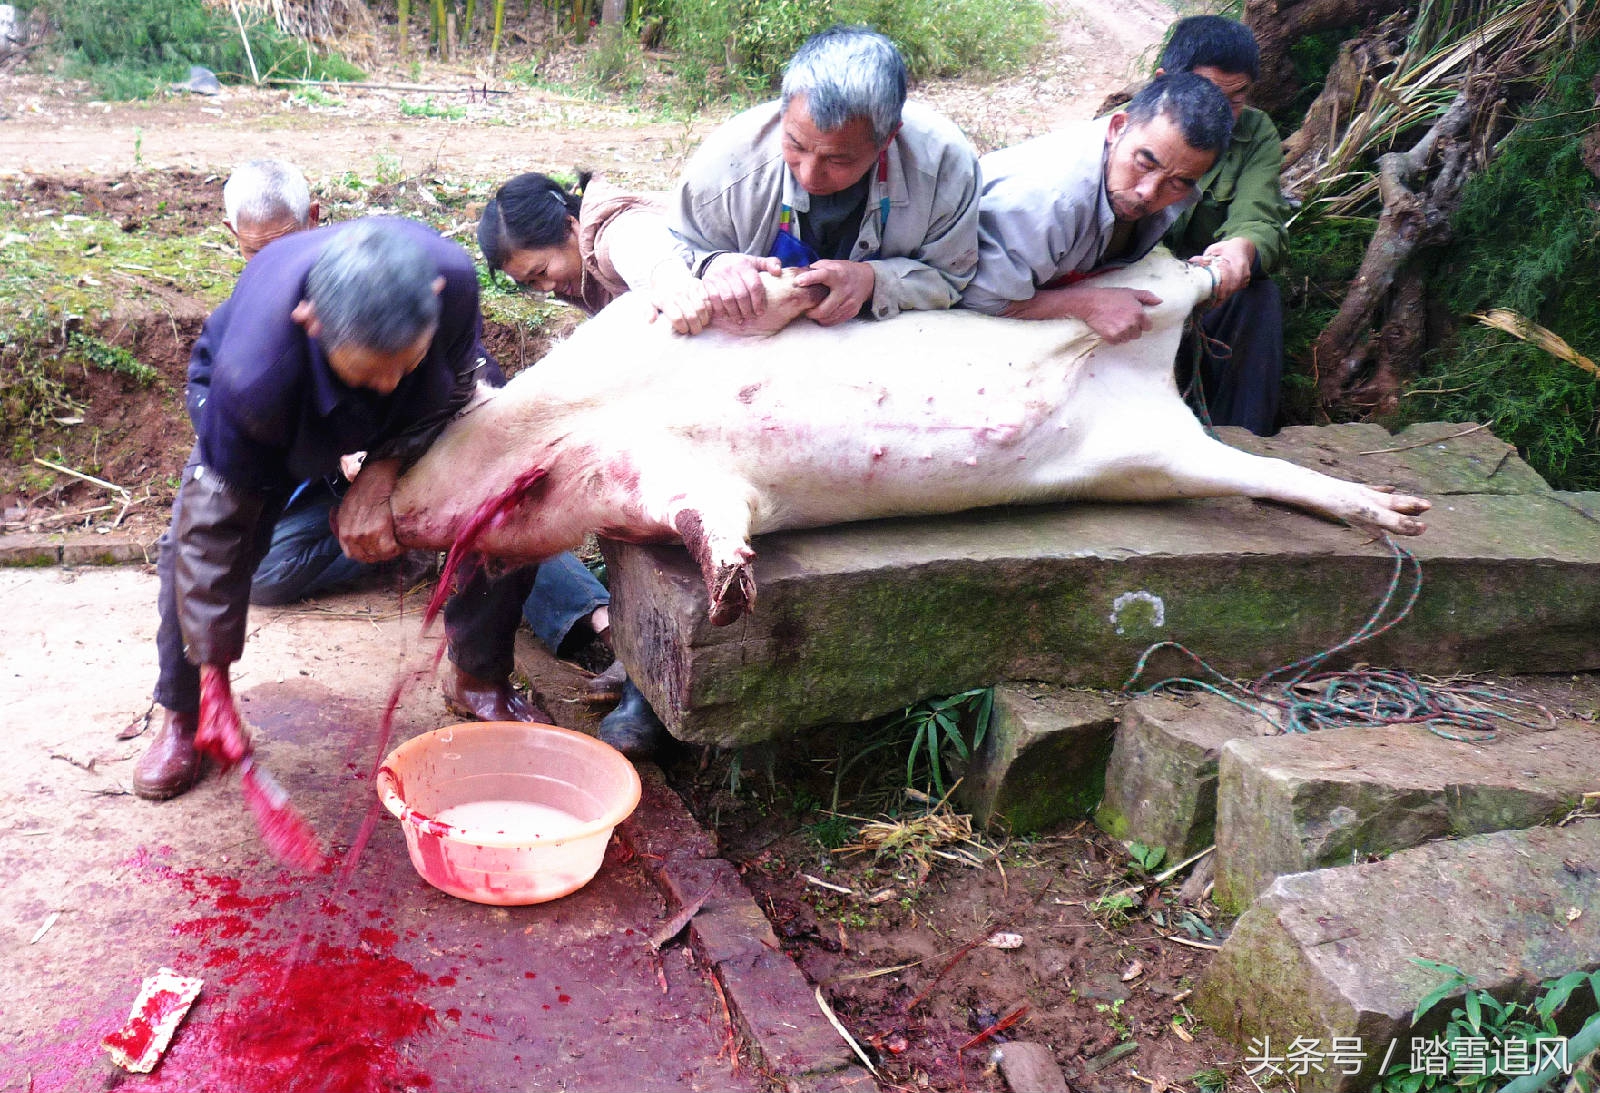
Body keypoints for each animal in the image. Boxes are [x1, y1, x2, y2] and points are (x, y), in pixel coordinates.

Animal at [393, 249, 1433, 624]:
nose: (391, 517)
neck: (576, 424)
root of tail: (1160, 382)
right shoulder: (684, 483)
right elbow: (712, 521)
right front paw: (731, 596)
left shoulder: (652, 323)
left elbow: (750, 295)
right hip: (1160, 459)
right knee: (1262, 471)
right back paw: (1404, 514)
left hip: (1152, 298)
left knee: (1188, 276)